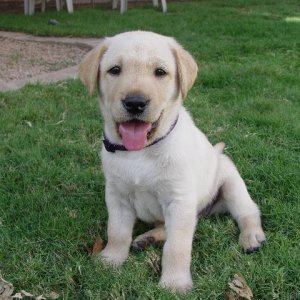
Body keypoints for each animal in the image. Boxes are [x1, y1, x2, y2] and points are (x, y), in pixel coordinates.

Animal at [79, 31, 264, 292]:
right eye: (114, 70)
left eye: (160, 72)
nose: (135, 103)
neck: (141, 151)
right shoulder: (117, 196)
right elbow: (117, 231)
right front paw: (110, 259)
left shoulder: (179, 200)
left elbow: (177, 247)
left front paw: (175, 283)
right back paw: (147, 239)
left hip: (232, 184)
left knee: (247, 211)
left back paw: (251, 237)